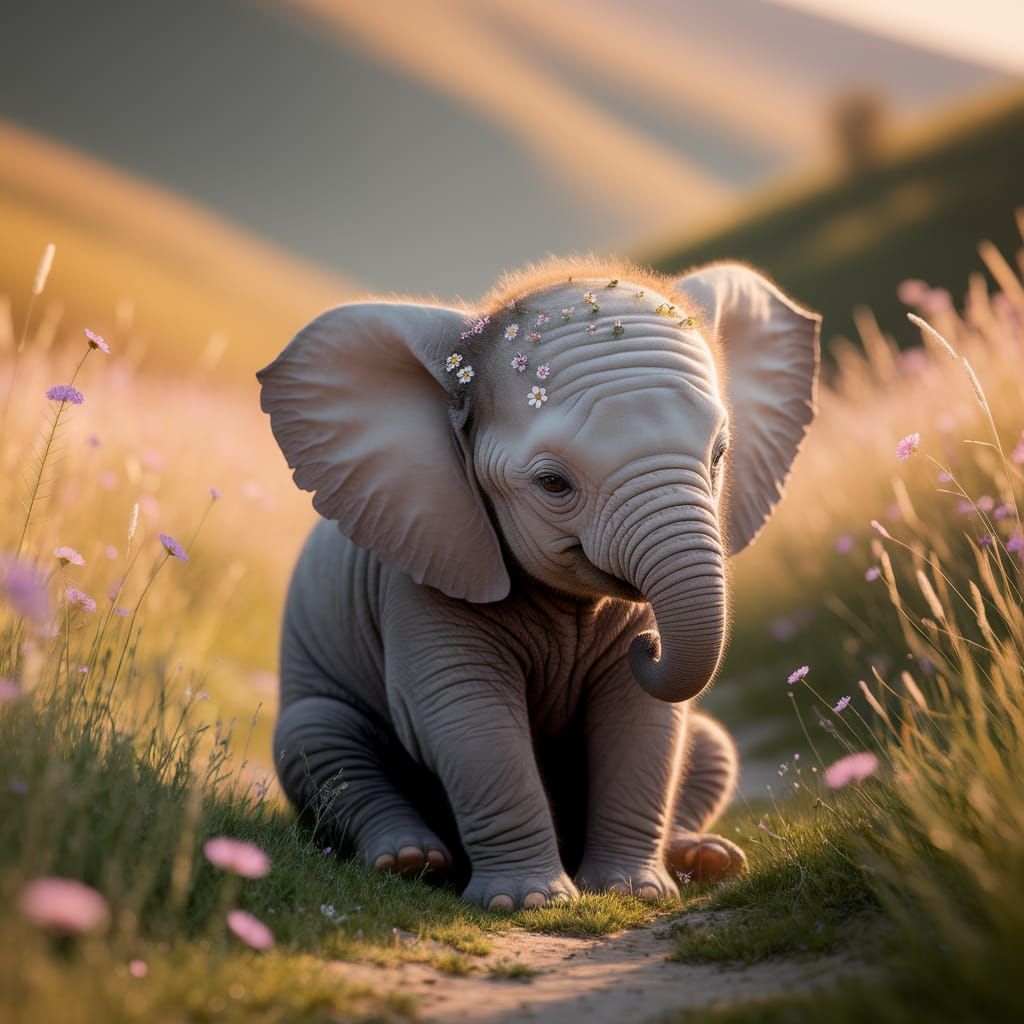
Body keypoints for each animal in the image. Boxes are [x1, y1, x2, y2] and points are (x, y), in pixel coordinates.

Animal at [257, 259, 819, 910]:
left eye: (720, 456)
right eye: (553, 484)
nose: (650, 644)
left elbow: (643, 721)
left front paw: (634, 893)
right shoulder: (419, 577)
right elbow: (467, 716)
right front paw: (531, 902)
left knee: (712, 743)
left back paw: (704, 859)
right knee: (318, 739)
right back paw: (409, 862)